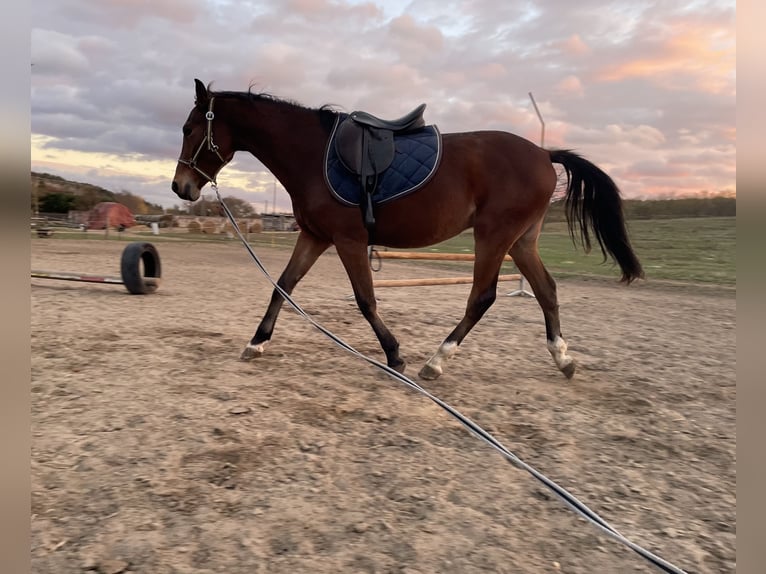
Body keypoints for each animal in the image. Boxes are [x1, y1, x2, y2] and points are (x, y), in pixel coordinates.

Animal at [172, 79, 643, 380]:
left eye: (189, 128)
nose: (181, 186)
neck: (312, 155)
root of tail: (544, 153)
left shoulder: (349, 241)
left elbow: (365, 300)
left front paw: (394, 355)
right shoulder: (315, 237)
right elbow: (282, 287)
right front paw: (257, 343)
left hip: (494, 237)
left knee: (482, 297)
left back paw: (437, 361)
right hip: (521, 241)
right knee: (546, 291)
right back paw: (562, 358)